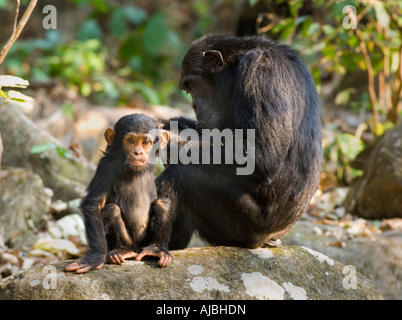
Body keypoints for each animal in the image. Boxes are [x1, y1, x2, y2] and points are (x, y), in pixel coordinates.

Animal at [65, 112, 171, 272]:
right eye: (131, 140)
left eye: (145, 142)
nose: (138, 152)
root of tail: (136, 249)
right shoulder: (105, 167)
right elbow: (94, 204)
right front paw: (95, 257)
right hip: (129, 243)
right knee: (112, 210)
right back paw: (119, 252)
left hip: (144, 242)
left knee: (162, 204)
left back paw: (156, 249)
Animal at [157, 35, 320, 250]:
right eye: (187, 90)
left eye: (193, 86)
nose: (194, 105)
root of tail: (270, 240)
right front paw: (173, 123)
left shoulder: (261, 72)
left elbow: (261, 155)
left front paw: (172, 145)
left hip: (244, 225)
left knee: (183, 175)